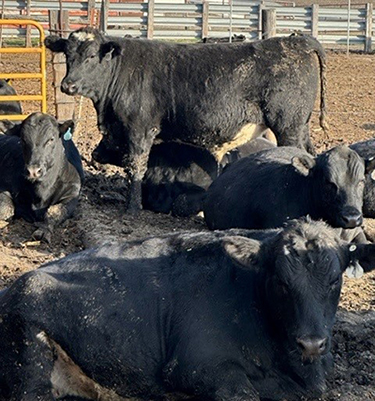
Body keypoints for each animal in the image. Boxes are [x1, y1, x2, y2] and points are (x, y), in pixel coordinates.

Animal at [0, 113, 83, 244]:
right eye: (22, 140)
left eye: (51, 139)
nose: (33, 171)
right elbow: (6, 208)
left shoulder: (72, 195)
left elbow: (55, 211)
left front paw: (44, 231)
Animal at [0, 217, 375, 398]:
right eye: (281, 282)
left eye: (335, 280)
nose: (311, 344)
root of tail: (12, 287)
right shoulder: (195, 366)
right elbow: (243, 392)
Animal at [43, 26, 326, 211]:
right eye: (67, 55)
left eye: (91, 56)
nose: (68, 85)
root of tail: (296, 42)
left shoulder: (139, 129)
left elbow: (136, 166)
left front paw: (132, 207)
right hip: (301, 125)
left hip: (288, 125)